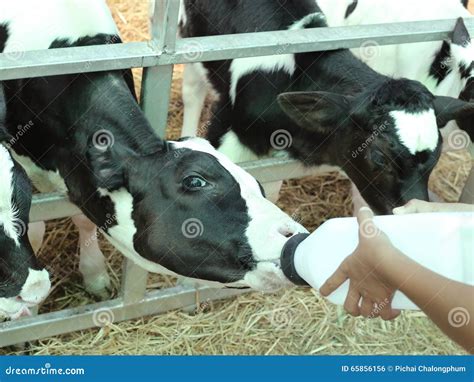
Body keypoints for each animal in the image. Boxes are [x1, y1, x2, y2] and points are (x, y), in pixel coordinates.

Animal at [0, 0, 306, 296]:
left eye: (259, 186)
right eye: (195, 180)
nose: (295, 236)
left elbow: (82, 219)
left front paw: (95, 276)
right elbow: (35, 225)